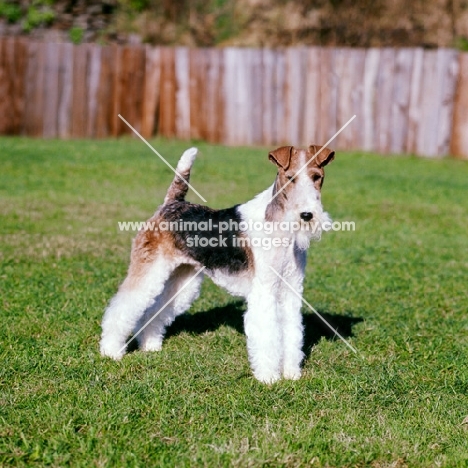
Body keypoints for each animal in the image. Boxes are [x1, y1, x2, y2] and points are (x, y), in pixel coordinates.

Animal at [101, 146, 336, 384]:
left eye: (317, 177)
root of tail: (171, 204)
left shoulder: (291, 289)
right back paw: (110, 350)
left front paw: (291, 373)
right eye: (290, 178)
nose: (306, 215)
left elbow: (292, 333)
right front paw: (269, 377)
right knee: (122, 308)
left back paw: (150, 344)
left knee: (153, 311)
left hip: (183, 280)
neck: (280, 225)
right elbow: (268, 335)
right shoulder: (264, 291)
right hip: (149, 271)